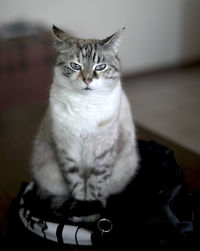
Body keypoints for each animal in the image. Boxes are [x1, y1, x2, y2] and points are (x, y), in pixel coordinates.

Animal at [30, 25, 138, 222]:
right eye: (75, 65)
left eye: (100, 67)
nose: (87, 80)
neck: (85, 106)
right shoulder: (67, 152)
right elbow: (78, 188)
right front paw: (80, 216)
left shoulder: (103, 153)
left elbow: (95, 187)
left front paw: (90, 217)